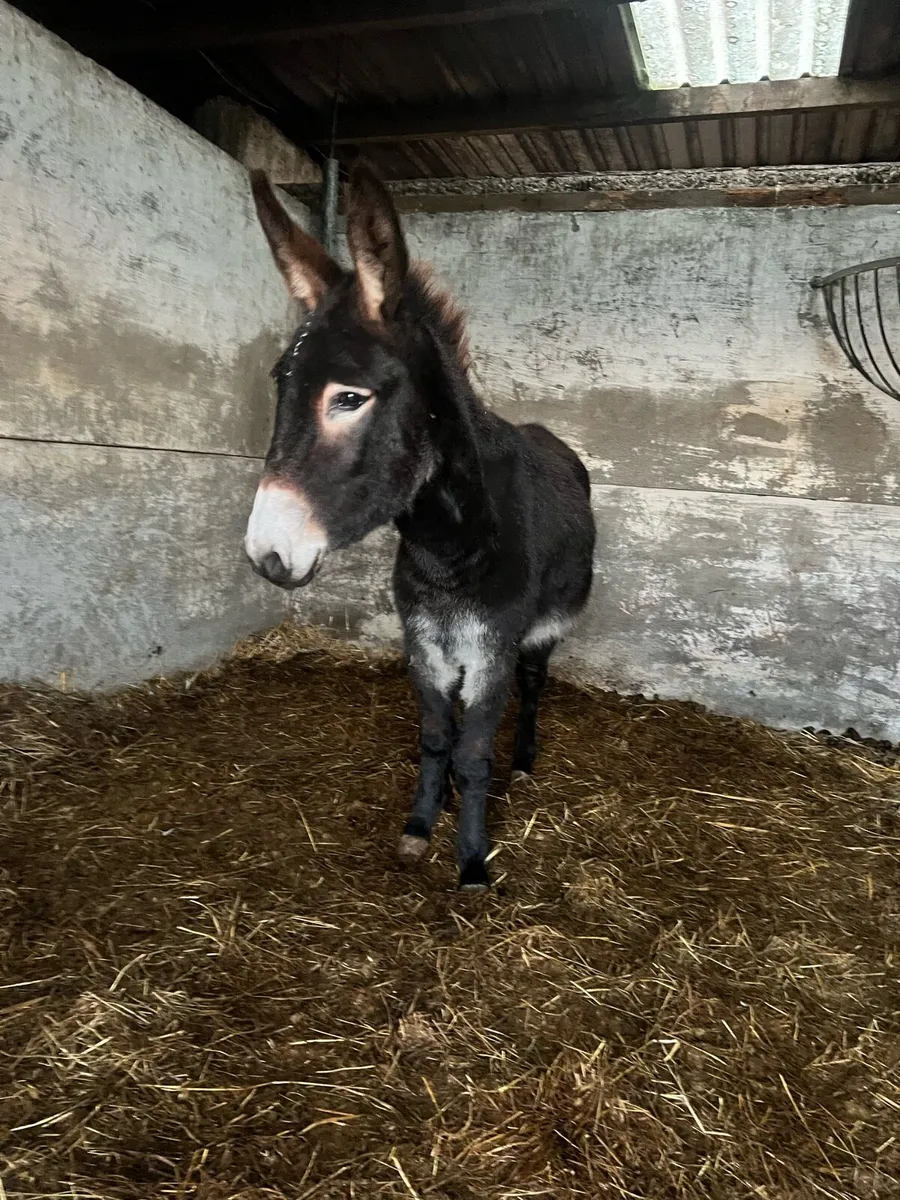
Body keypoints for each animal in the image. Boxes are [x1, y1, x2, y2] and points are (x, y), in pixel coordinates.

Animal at [245, 162, 596, 890]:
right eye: (280, 383)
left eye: (350, 398)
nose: (266, 553)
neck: (448, 549)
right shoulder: (424, 642)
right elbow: (438, 739)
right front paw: (419, 826)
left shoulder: (490, 650)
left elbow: (474, 749)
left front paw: (472, 861)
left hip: (545, 630)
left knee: (534, 687)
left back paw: (523, 763)